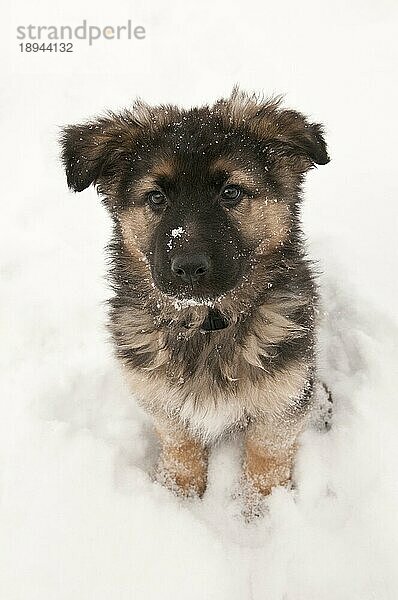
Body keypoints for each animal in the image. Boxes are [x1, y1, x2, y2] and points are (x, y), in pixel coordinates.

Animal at [60, 89, 330, 500]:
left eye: (231, 192)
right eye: (156, 198)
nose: (188, 268)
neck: (206, 324)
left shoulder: (282, 399)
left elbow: (266, 458)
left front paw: (258, 510)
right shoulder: (160, 398)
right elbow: (180, 446)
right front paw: (177, 495)